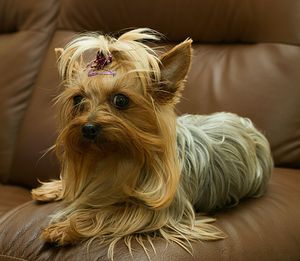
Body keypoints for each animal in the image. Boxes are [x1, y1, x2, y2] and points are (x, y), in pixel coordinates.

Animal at [31, 27, 274, 258]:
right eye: (78, 99)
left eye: (121, 100)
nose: (88, 128)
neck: (116, 155)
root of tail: (249, 126)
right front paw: (53, 189)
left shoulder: (159, 211)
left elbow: (106, 213)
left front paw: (62, 228)